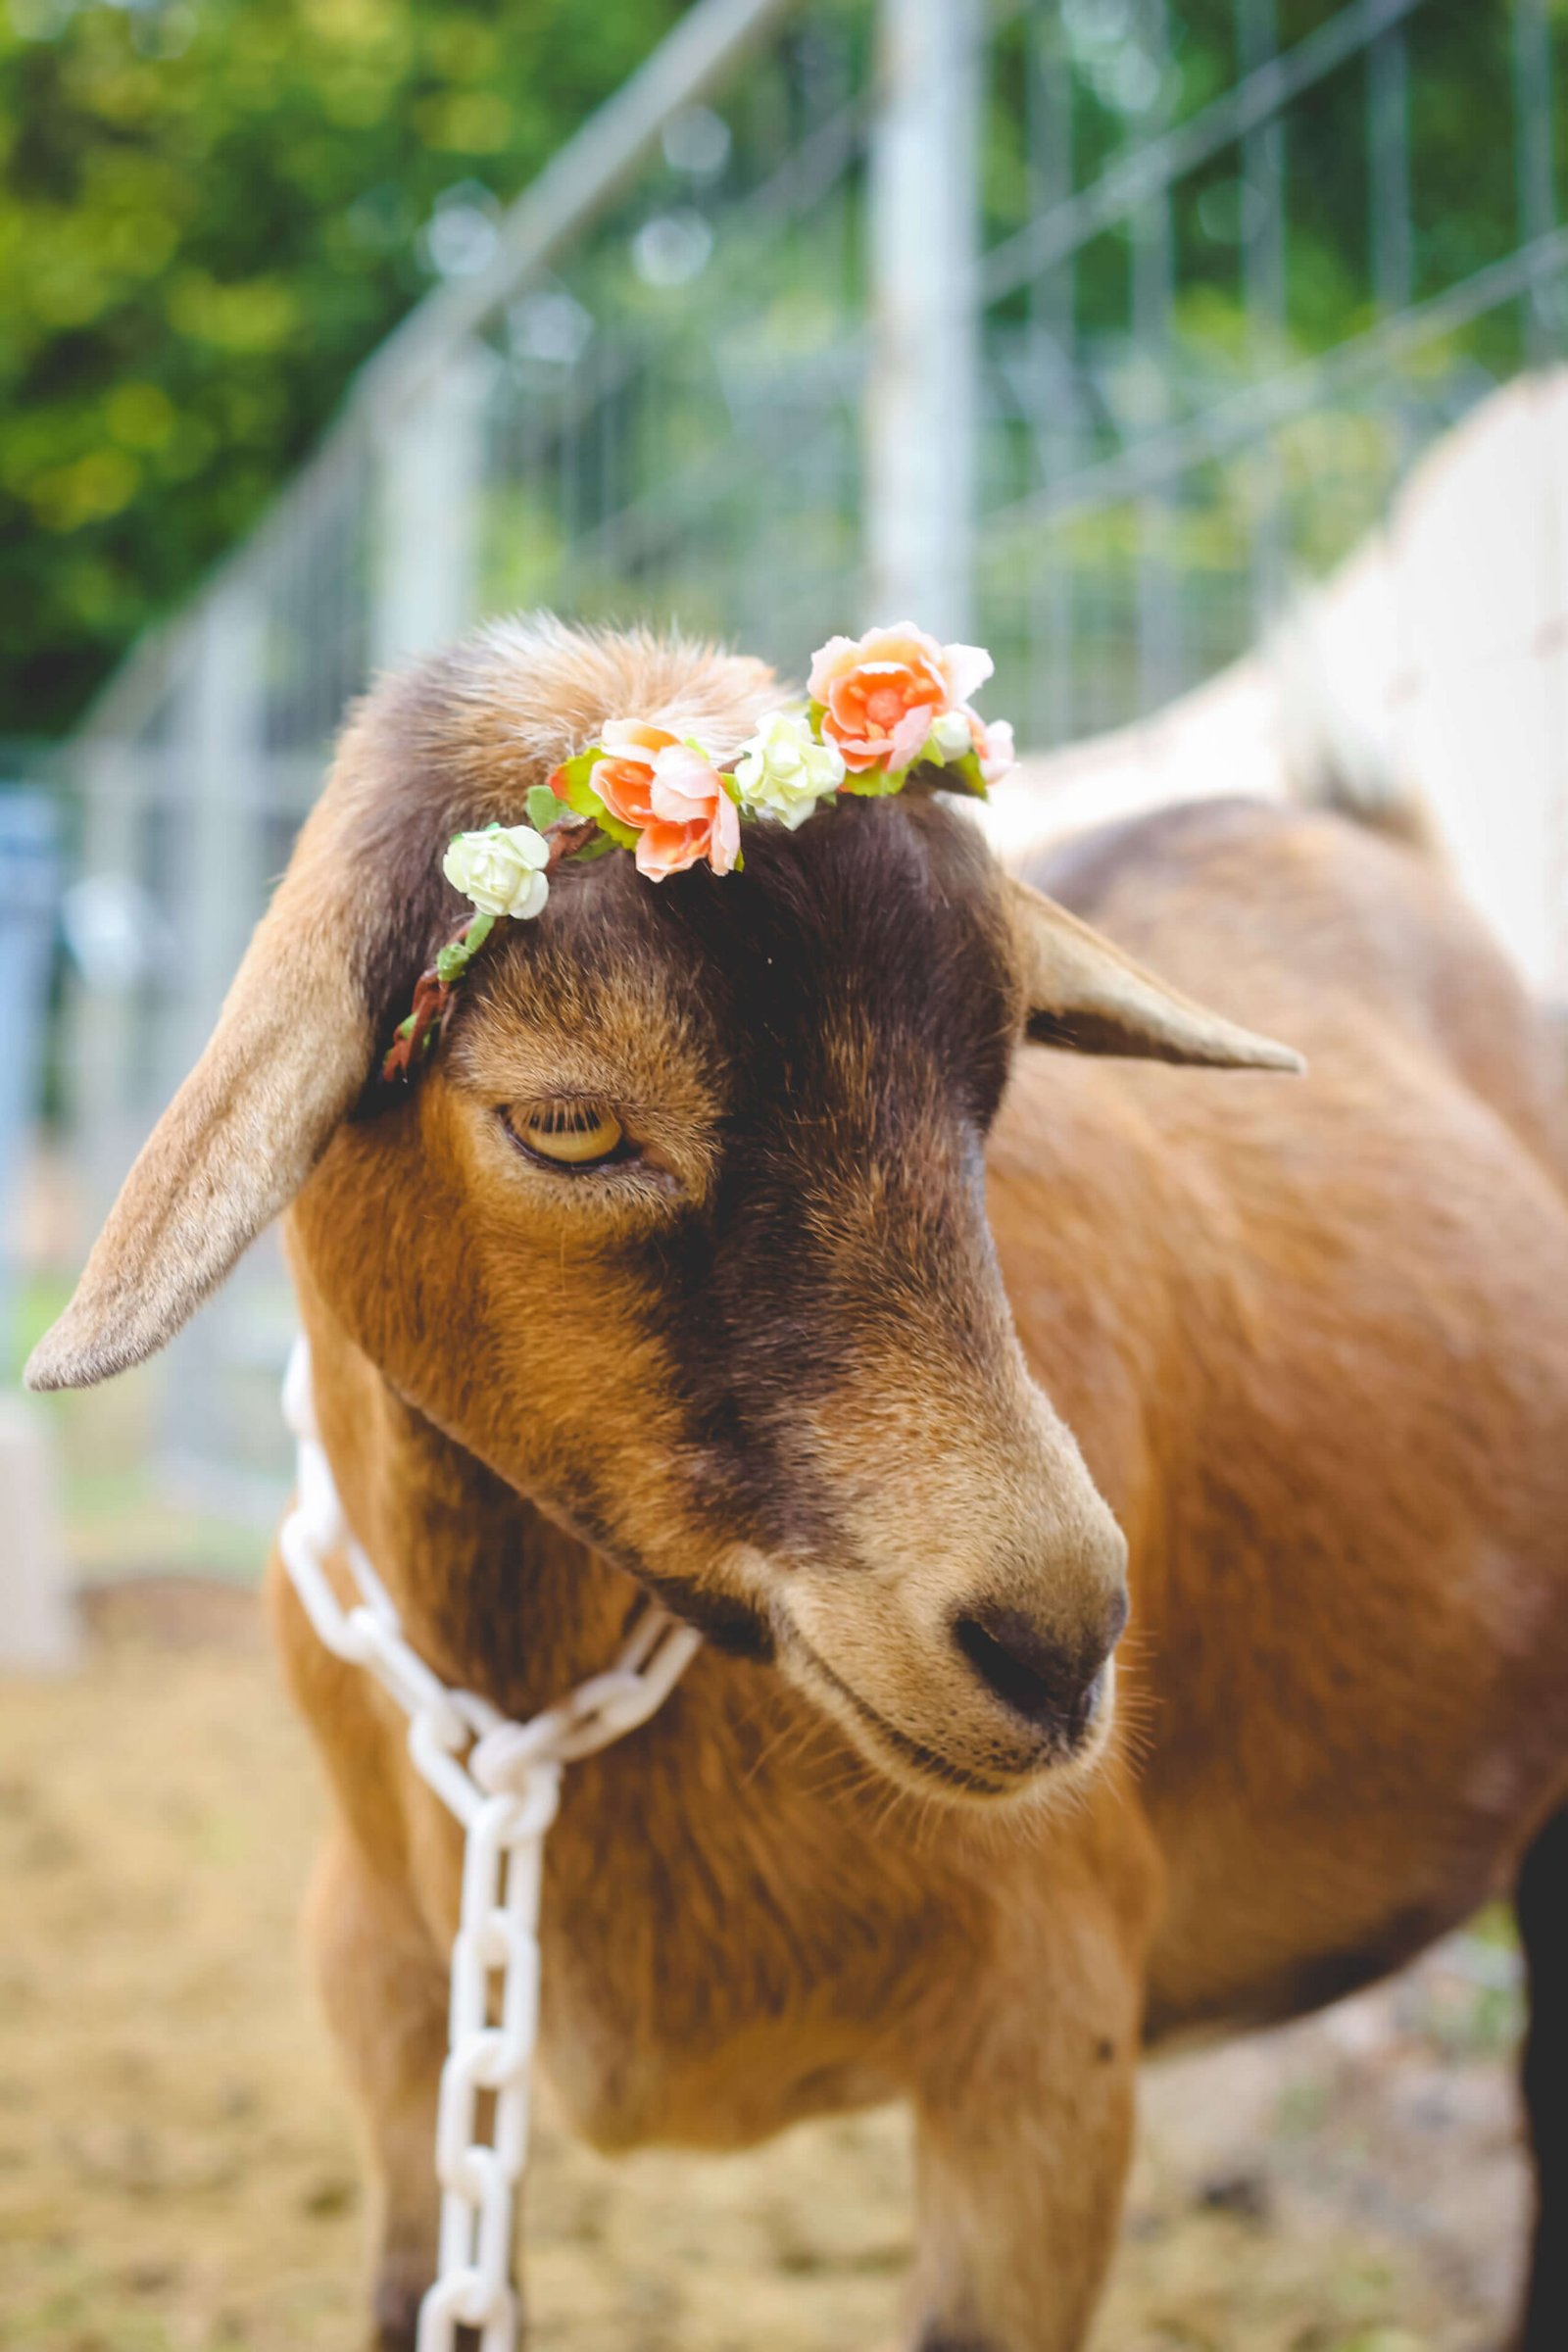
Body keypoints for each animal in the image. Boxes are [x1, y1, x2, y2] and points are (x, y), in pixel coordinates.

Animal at [30, 616, 1568, 2352]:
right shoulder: (394, 2005)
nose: (1054, 1645)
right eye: (570, 1121)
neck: (532, 1715)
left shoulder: (1048, 2056)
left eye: (991, 1093)